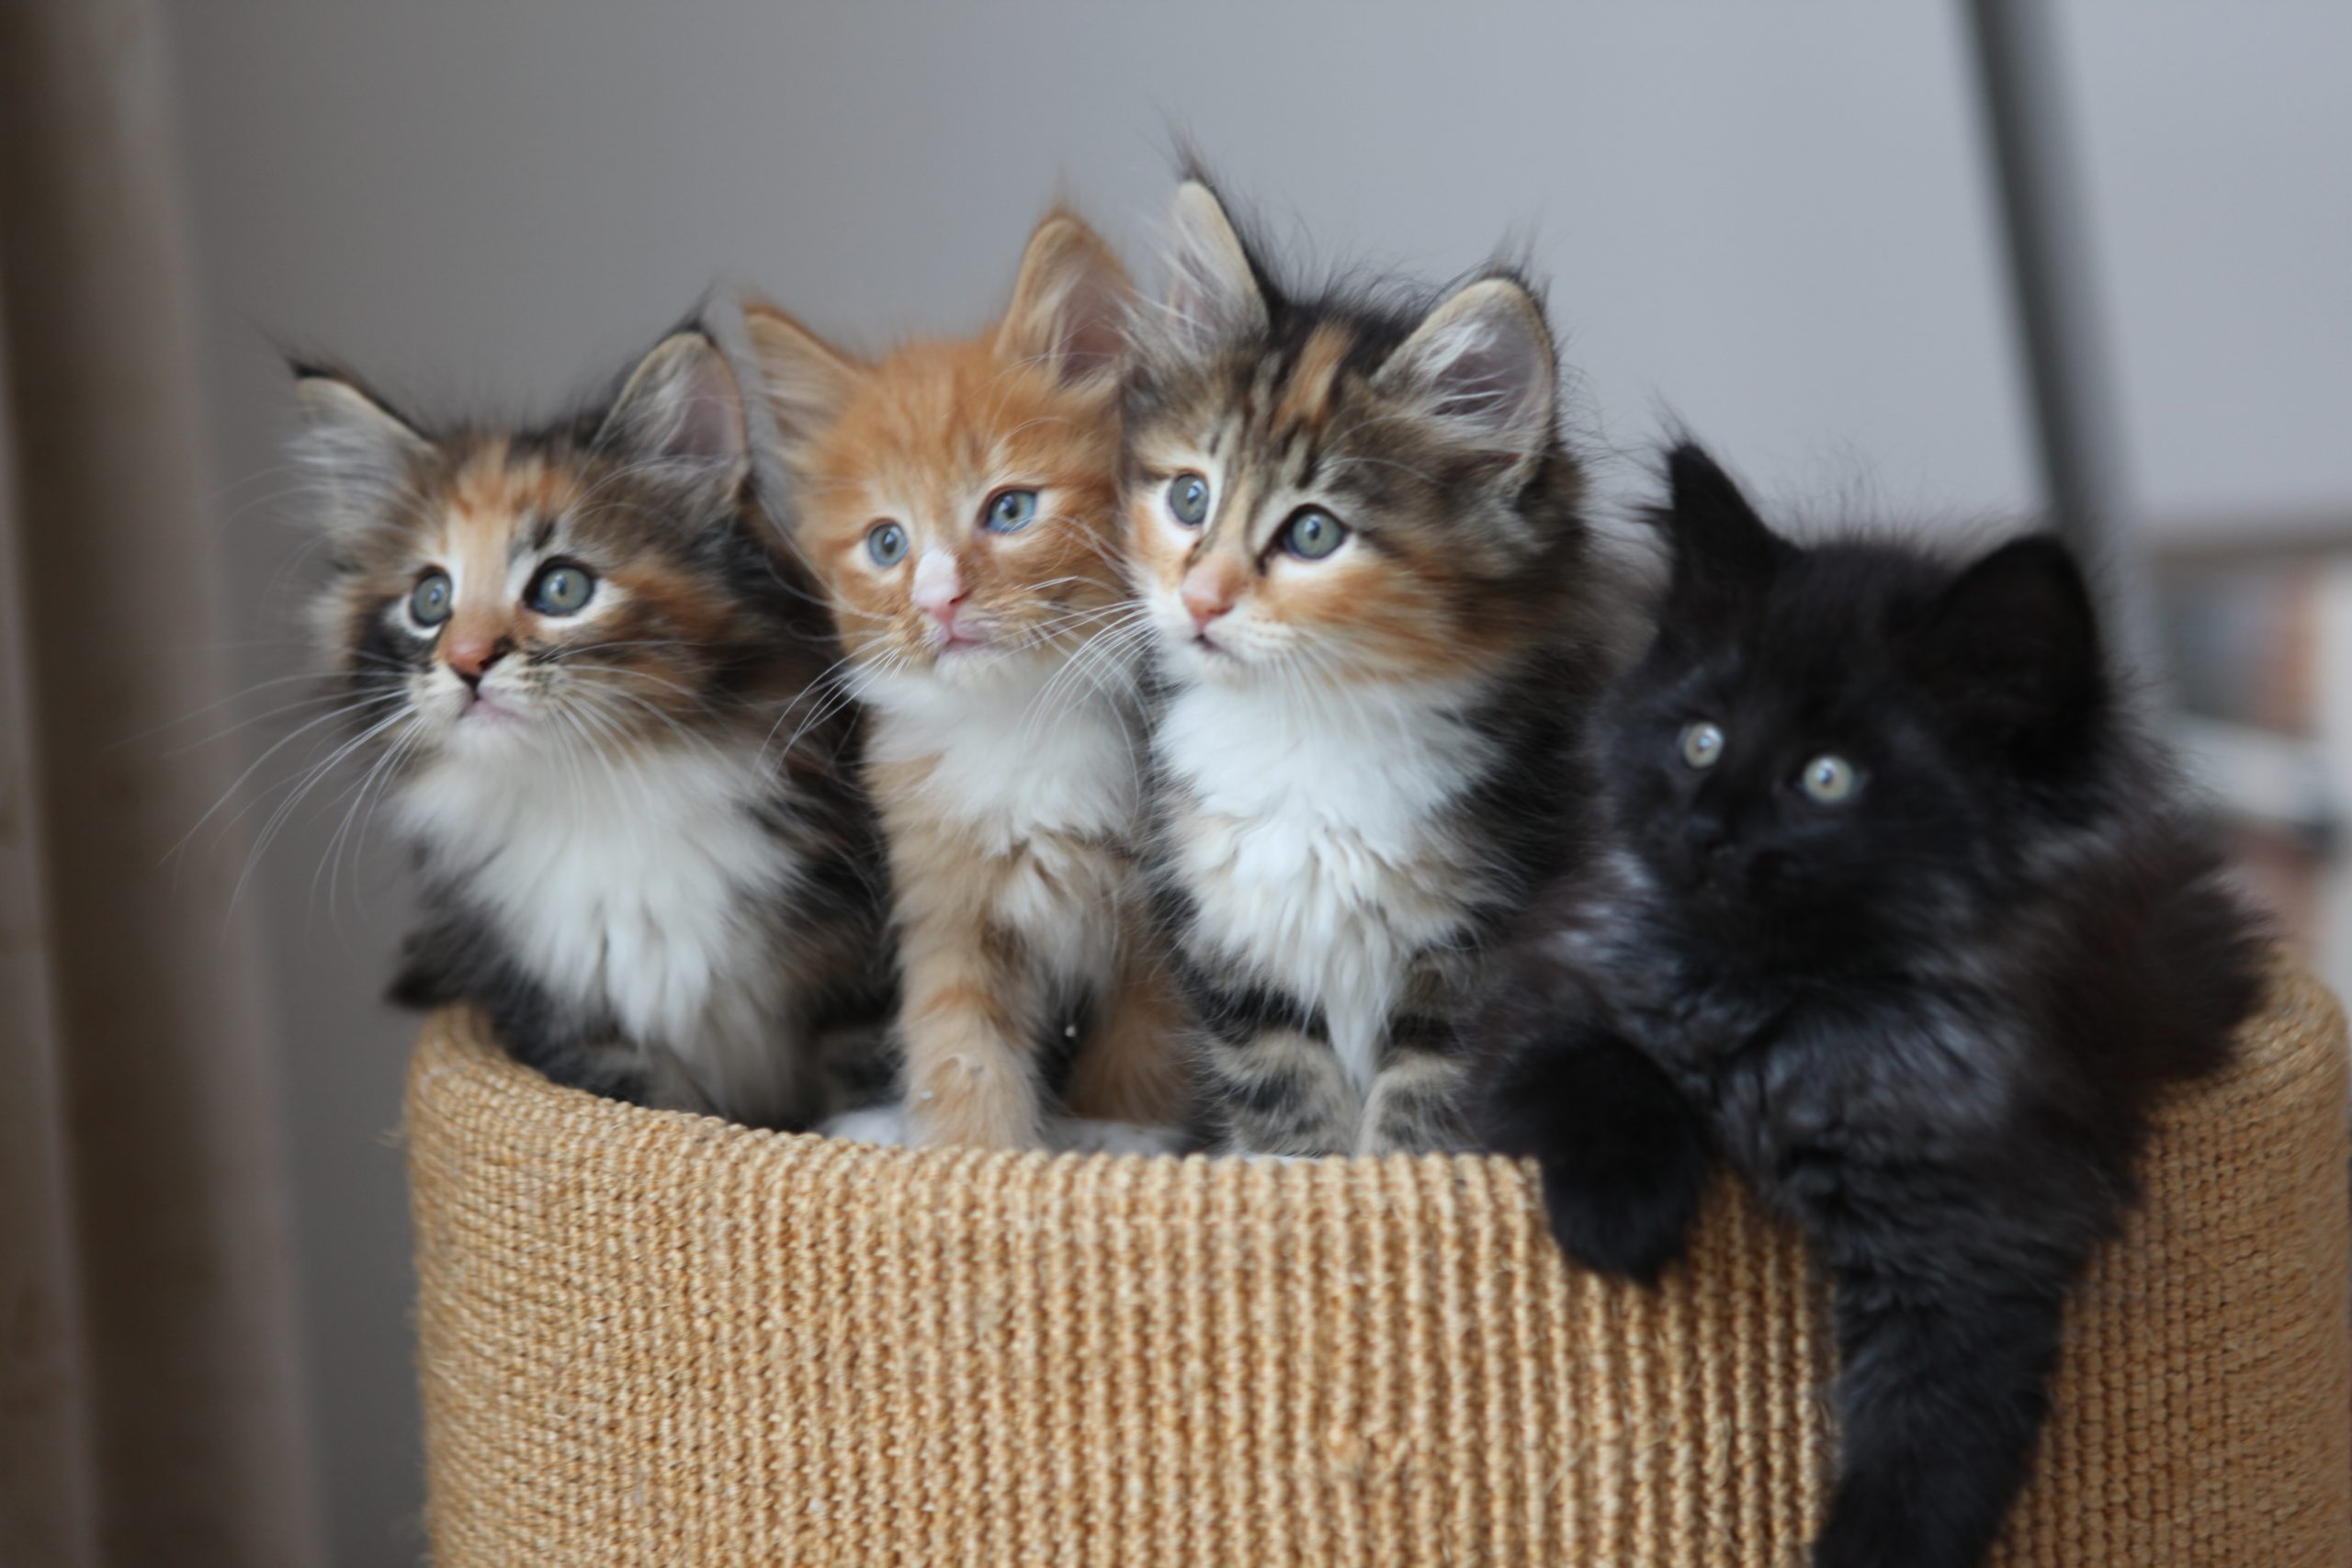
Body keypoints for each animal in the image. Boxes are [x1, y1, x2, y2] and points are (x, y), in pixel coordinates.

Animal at [294, 329, 884, 1128]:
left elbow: (879, 1073)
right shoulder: (570, 1021)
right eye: (431, 599)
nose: (466, 660)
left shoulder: (865, 952)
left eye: (561, 586)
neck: (600, 789)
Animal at [748, 211, 1194, 1152]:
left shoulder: (1161, 911)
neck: (1018, 724)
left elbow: (1145, 1036)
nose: (939, 599)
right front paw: (975, 1156)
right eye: (887, 543)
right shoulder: (948, 902)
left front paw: (1117, 1135)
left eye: (1010, 510)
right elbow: (959, 1044)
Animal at [1128, 181, 1627, 1152]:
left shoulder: (1485, 952)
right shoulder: (1233, 962)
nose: (1199, 598)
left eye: (1314, 533)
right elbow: (1288, 1112)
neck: (1306, 733)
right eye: (1189, 497)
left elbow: (1425, 1117)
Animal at [1476, 439, 2267, 1568]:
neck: (1783, 1009)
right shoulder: (1539, 1000)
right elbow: (1602, 1067)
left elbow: (1931, 1452)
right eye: (1702, 740)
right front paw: (1617, 1217)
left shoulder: (1975, 1233)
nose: (1706, 831)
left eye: (1827, 777)